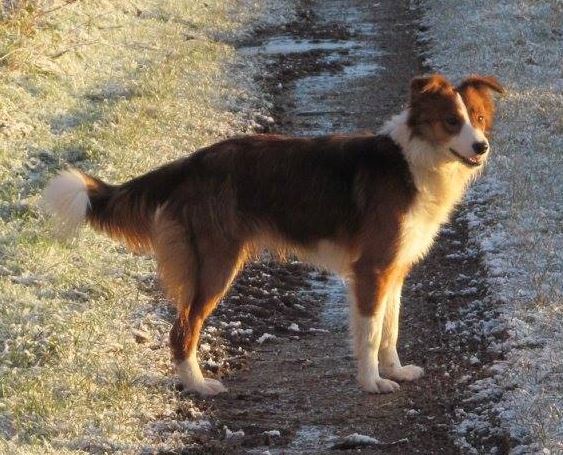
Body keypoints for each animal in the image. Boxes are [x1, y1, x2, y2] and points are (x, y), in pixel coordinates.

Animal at [41, 74, 504, 396]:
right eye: (451, 122)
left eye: (480, 120)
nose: (481, 147)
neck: (414, 162)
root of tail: (192, 162)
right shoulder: (371, 269)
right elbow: (371, 333)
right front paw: (372, 382)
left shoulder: (395, 269)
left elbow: (390, 330)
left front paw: (395, 371)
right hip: (217, 264)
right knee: (183, 329)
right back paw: (199, 385)